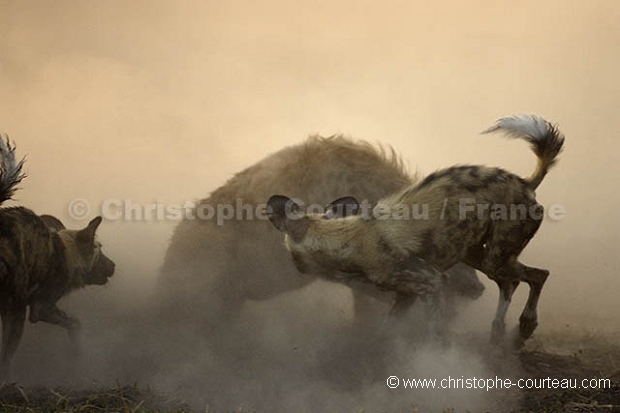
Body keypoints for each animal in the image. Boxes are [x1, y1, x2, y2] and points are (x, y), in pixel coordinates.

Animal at [0, 135, 115, 380]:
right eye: (99, 249)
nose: (114, 266)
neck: (67, 251)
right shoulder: (39, 308)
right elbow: (74, 322)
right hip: (16, 312)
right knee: (6, 358)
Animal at [268, 116, 564, 344]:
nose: (294, 267)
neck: (349, 240)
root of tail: (525, 183)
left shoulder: (433, 282)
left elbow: (435, 334)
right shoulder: (407, 294)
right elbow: (387, 331)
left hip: (494, 257)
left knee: (539, 275)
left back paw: (525, 325)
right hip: (477, 255)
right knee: (512, 282)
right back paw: (501, 334)